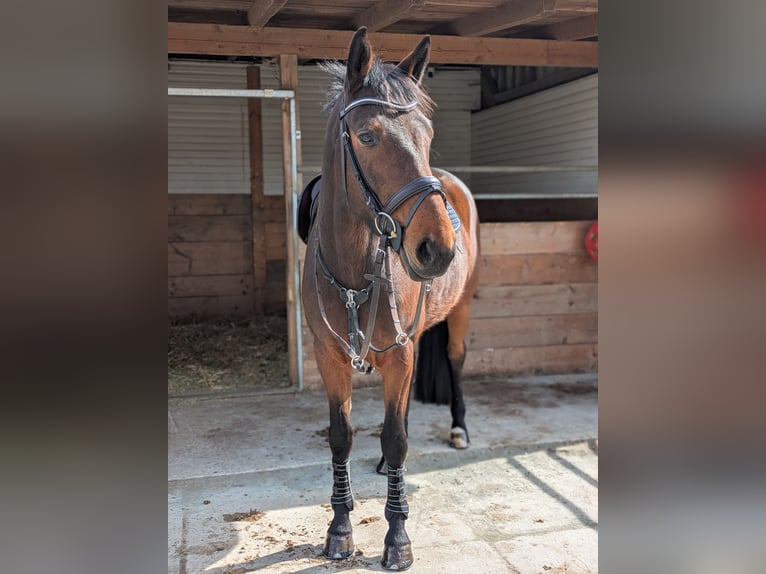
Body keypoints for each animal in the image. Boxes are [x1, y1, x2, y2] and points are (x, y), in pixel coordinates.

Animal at [298, 27, 480, 570]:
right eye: (366, 136)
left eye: (427, 134)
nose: (437, 248)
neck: (353, 273)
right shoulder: (330, 355)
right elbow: (342, 436)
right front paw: (339, 528)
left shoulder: (400, 353)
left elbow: (397, 437)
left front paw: (397, 537)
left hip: (458, 314)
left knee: (455, 362)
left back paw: (459, 428)